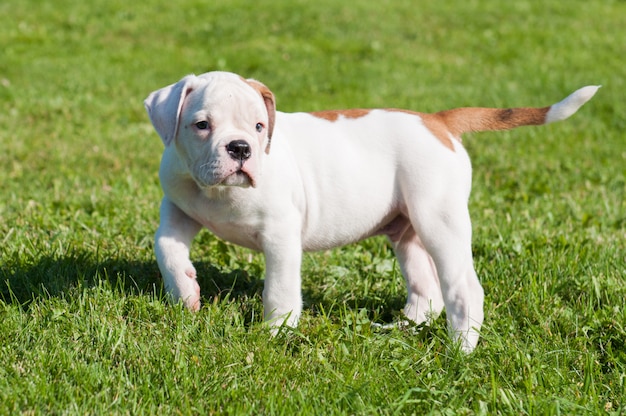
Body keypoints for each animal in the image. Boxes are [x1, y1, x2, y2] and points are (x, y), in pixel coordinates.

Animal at [144, 72, 596, 352]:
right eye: (202, 125)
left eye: (258, 126)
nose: (240, 148)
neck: (219, 193)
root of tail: (438, 120)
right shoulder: (178, 209)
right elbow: (165, 247)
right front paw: (186, 294)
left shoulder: (280, 236)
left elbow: (280, 290)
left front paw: (275, 333)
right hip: (407, 232)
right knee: (426, 289)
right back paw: (402, 328)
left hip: (439, 221)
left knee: (463, 288)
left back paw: (460, 350)